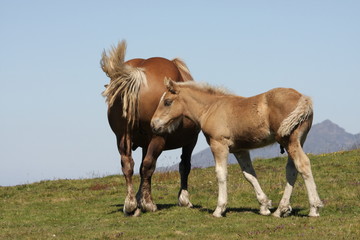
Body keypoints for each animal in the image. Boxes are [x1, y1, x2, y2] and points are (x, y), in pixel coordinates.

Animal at [101, 40, 200, 216]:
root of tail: (137, 74)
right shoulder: (190, 141)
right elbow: (184, 166)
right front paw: (184, 199)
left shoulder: (143, 144)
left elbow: (140, 168)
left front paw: (139, 198)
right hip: (157, 138)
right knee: (149, 166)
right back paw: (148, 203)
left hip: (122, 137)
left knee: (128, 165)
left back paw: (131, 204)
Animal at [151, 79, 324, 218]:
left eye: (167, 101)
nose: (153, 124)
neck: (211, 108)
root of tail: (303, 98)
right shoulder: (240, 150)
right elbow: (249, 175)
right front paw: (264, 206)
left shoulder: (219, 144)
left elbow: (221, 174)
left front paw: (219, 209)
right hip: (298, 141)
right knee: (292, 170)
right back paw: (280, 210)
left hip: (290, 141)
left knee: (303, 165)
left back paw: (314, 208)